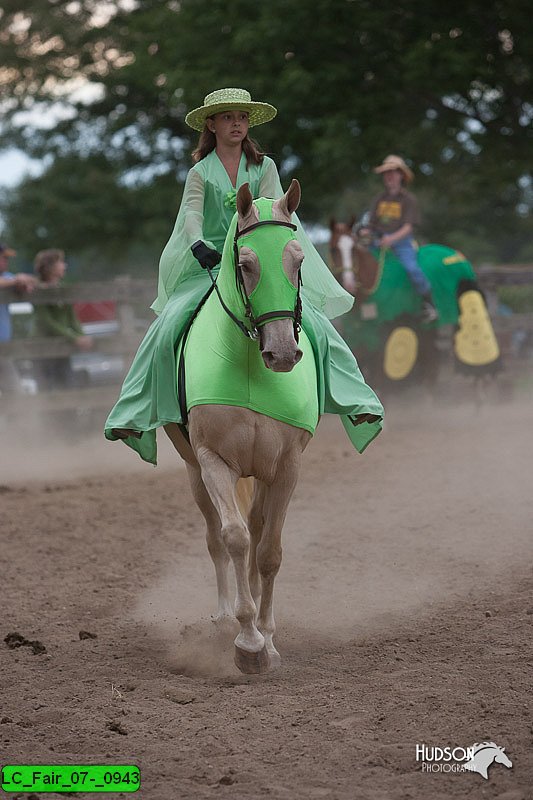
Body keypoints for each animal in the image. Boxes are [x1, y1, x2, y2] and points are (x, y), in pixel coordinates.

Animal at [165, 181, 316, 676]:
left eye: (299, 261)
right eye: (245, 264)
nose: (282, 353)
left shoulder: (286, 468)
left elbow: (268, 552)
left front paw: (268, 639)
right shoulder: (213, 461)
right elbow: (234, 538)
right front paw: (247, 641)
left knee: (257, 530)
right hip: (195, 472)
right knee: (218, 538)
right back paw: (222, 616)